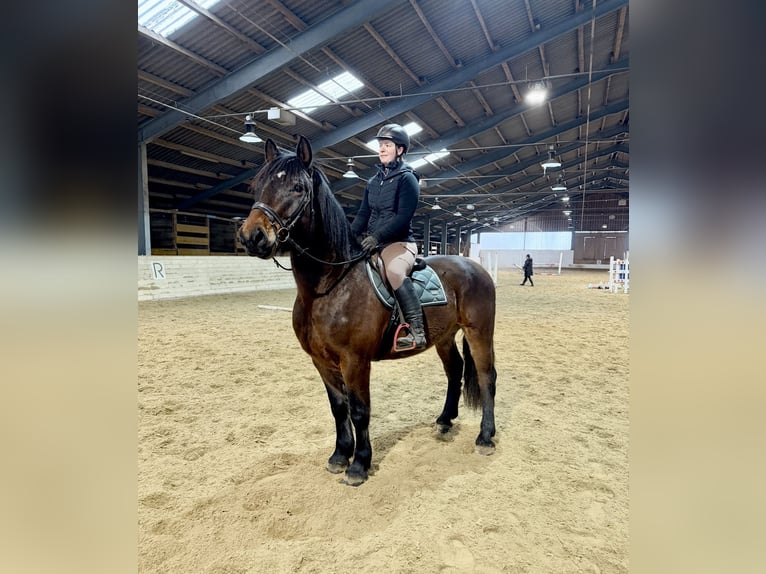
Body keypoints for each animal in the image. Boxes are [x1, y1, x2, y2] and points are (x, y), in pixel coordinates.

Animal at [237, 136, 497, 486]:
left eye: (297, 188)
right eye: (259, 185)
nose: (252, 236)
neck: (329, 286)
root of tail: (473, 265)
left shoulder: (355, 360)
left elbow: (360, 410)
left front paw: (359, 465)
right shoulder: (321, 360)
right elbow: (339, 408)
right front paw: (338, 456)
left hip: (479, 331)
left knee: (486, 377)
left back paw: (485, 437)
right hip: (444, 337)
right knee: (455, 370)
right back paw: (444, 421)